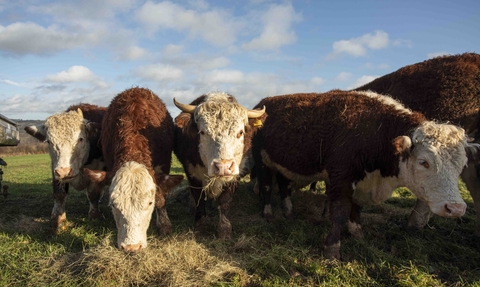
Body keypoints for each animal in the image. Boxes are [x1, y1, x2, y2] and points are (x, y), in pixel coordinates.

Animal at [24, 104, 106, 233]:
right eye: (49, 141)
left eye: (80, 139)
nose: (64, 172)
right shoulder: (55, 168)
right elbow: (59, 195)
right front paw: (58, 220)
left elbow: (93, 194)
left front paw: (94, 215)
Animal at [84, 87, 184, 252]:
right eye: (113, 205)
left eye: (149, 203)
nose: (132, 247)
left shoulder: (163, 166)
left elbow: (160, 198)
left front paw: (164, 224)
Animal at [172, 92, 266, 238]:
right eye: (202, 132)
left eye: (240, 133)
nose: (223, 167)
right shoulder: (192, 173)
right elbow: (199, 198)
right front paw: (200, 226)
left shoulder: (234, 176)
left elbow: (225, 201)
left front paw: (224, 230)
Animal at [251, 90, 480, 260]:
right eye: (424, 162)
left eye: (462, 166)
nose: (456, 208)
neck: (376, 131)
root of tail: (265, 102)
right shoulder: (341, 178)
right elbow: (340, 211)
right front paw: (332, 248)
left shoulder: (362, 183)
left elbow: (356, 208)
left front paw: (356, 232)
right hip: (262, 162)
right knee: (266, 186)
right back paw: (268, 213)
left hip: (284, 165)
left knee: (283, 186)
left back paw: (288, 212)